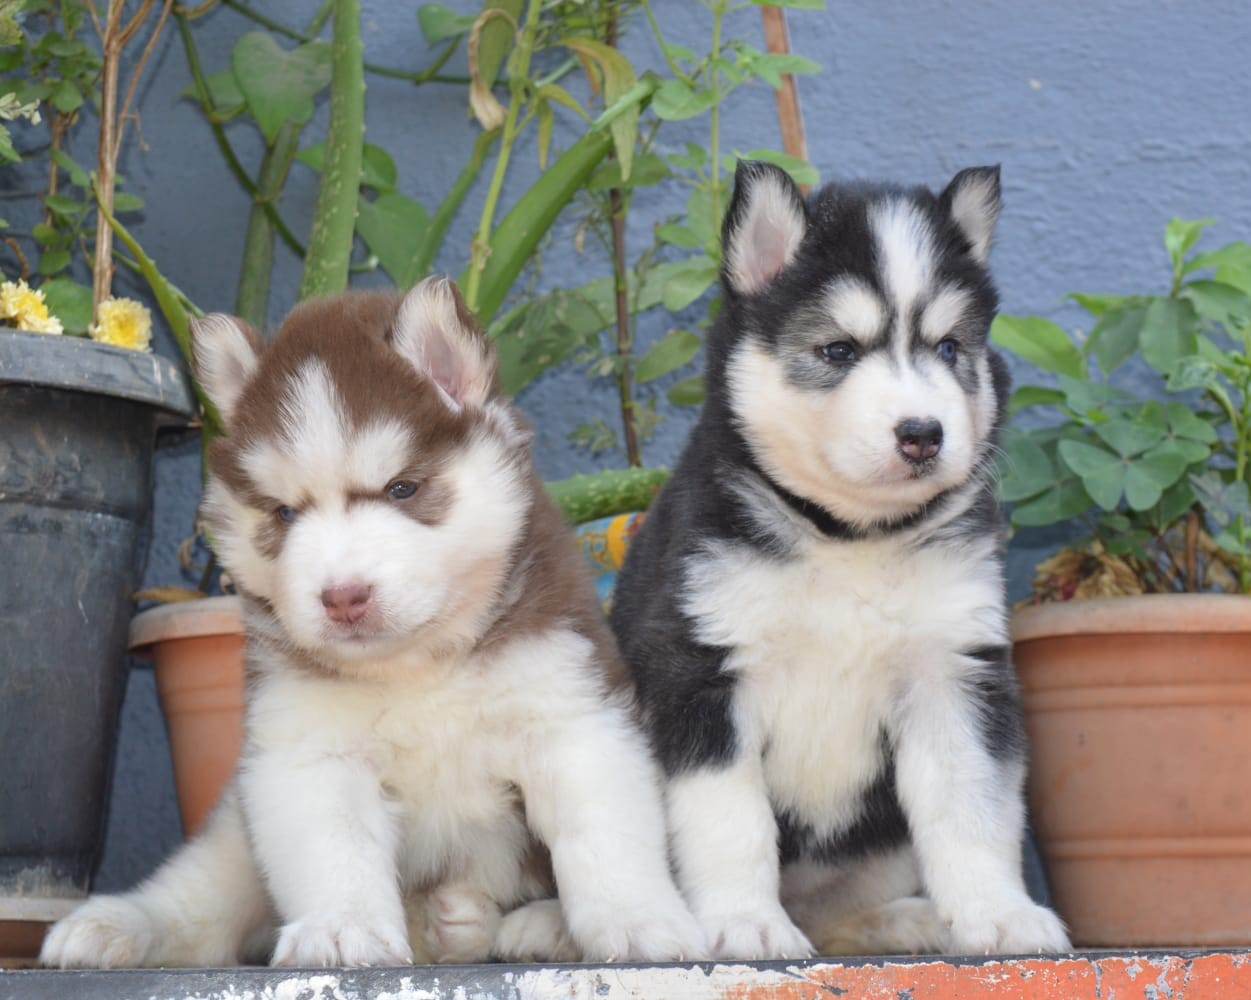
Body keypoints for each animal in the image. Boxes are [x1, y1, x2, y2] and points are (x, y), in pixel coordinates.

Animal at [41, 277, 705, 966]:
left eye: (402, 489)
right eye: (283, 513)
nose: (343, 597)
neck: (418, 668)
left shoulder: (571, 713)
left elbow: (602, 833)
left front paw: (634, 920)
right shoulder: (310, 750)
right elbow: (336, 848)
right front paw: (341, 928)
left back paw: (520, 927)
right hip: (236, 824)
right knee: (201, 892)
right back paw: (122, 924)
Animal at [610, 162, 1070, 961]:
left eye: (949, 349)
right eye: (838, 351)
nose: (923, 433)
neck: (848, 538)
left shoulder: (953, 671)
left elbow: (972, 808)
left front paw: (999, 913)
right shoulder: (699, 671)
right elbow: (729, 822)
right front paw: (744, 921)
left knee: (839, 909)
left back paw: (907, 922)